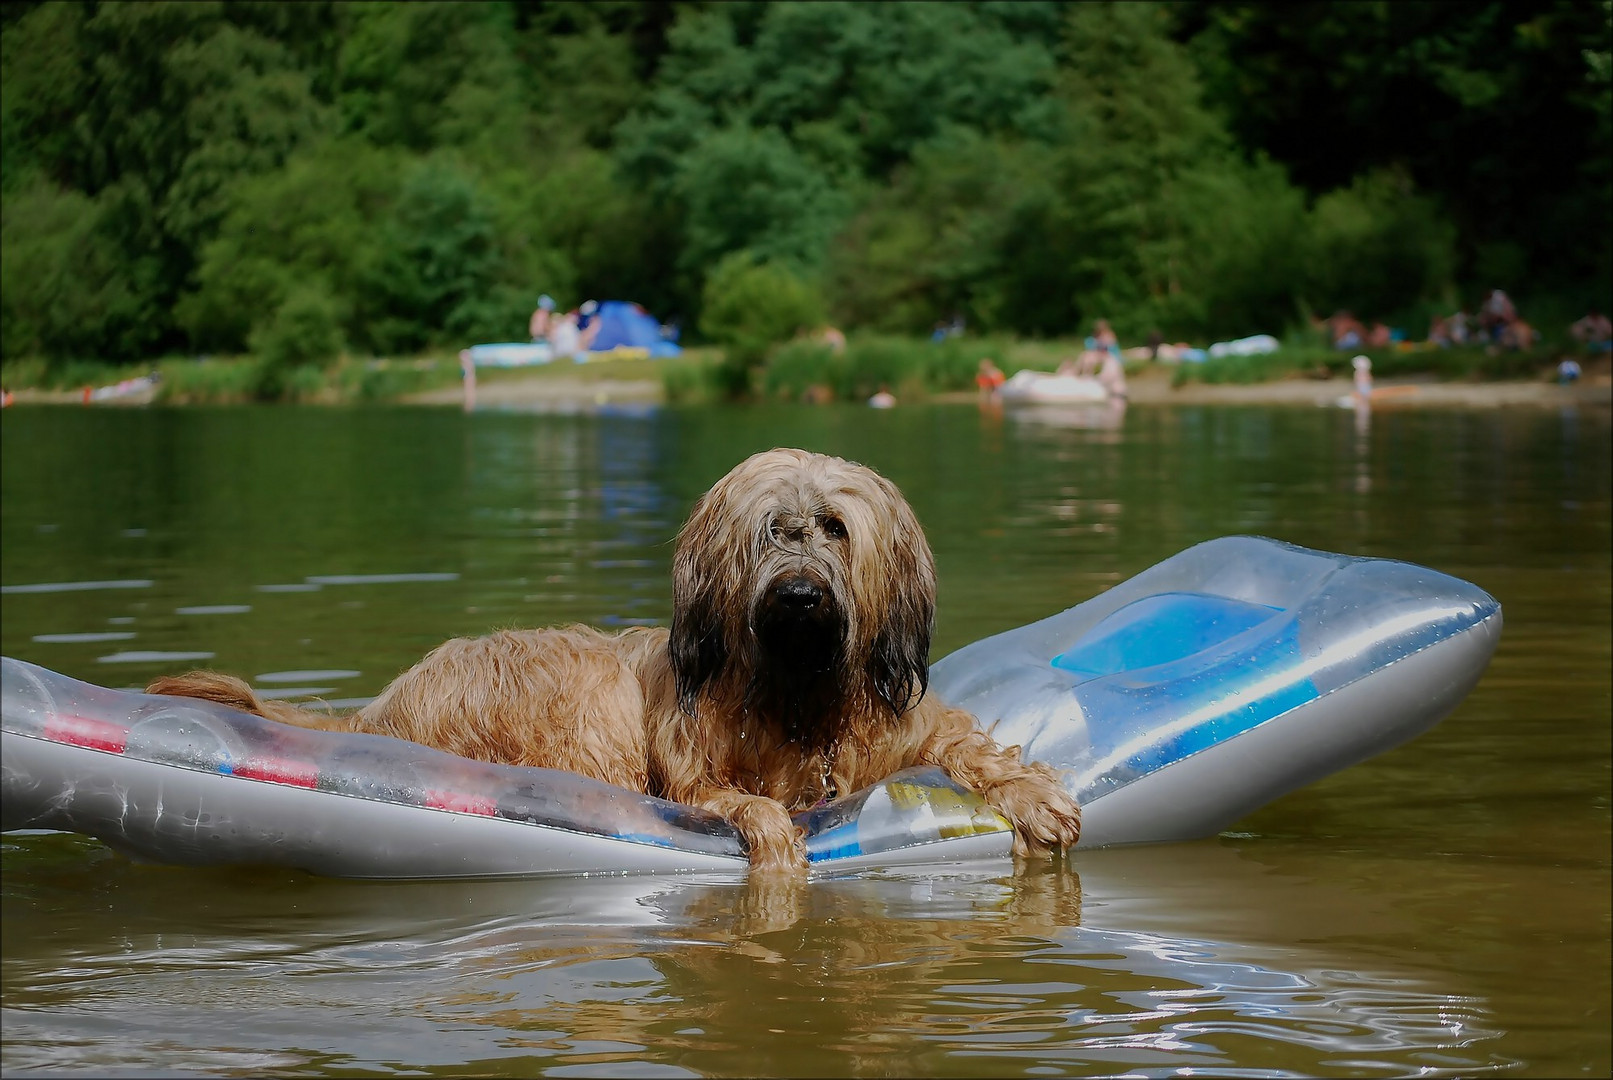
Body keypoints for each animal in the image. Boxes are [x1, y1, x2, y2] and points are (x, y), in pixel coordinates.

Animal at [148, 448, 1083, 870]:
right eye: (768, 533)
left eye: (833, 530)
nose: (798, 596)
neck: (799, 696)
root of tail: (380, 707)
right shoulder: (693, 769)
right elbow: (741, 802)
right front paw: (775, 846)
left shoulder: (906, 728)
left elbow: (970, 746)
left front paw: (1034, 797)